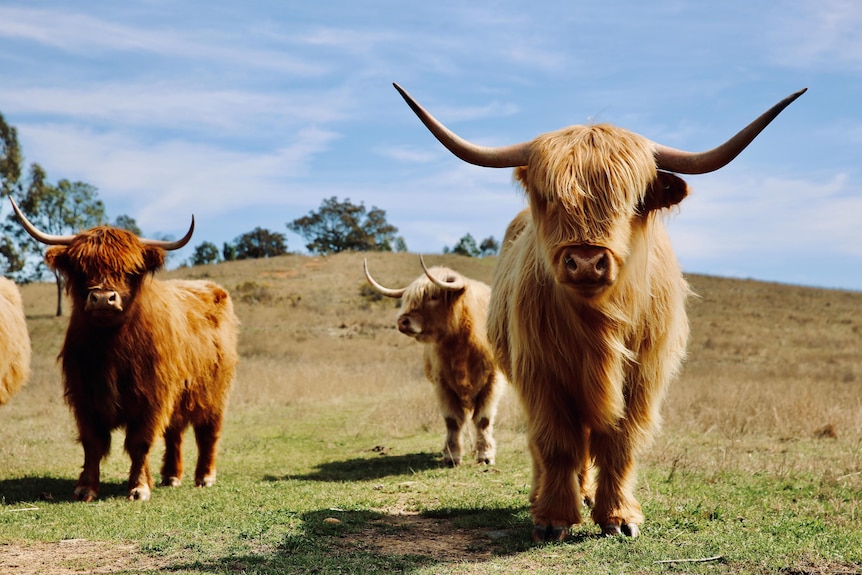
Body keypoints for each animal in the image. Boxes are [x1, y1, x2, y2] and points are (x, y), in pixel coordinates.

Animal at [364, 258, 506, 466]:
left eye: (433, 296)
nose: (402, 321)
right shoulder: (442, 383)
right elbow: (453, 420)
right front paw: (452, 456)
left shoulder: (492, 381)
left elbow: (483, 419)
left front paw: (485, 456)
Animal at [394, 84, 808, 540]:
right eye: (550, 197)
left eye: (632, 200)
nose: (587, 263)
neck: (597, 326)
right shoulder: (540, 374)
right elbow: (556, 443)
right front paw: (554, 517)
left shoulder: (643, 378)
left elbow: (619, 443)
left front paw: (618, 517)